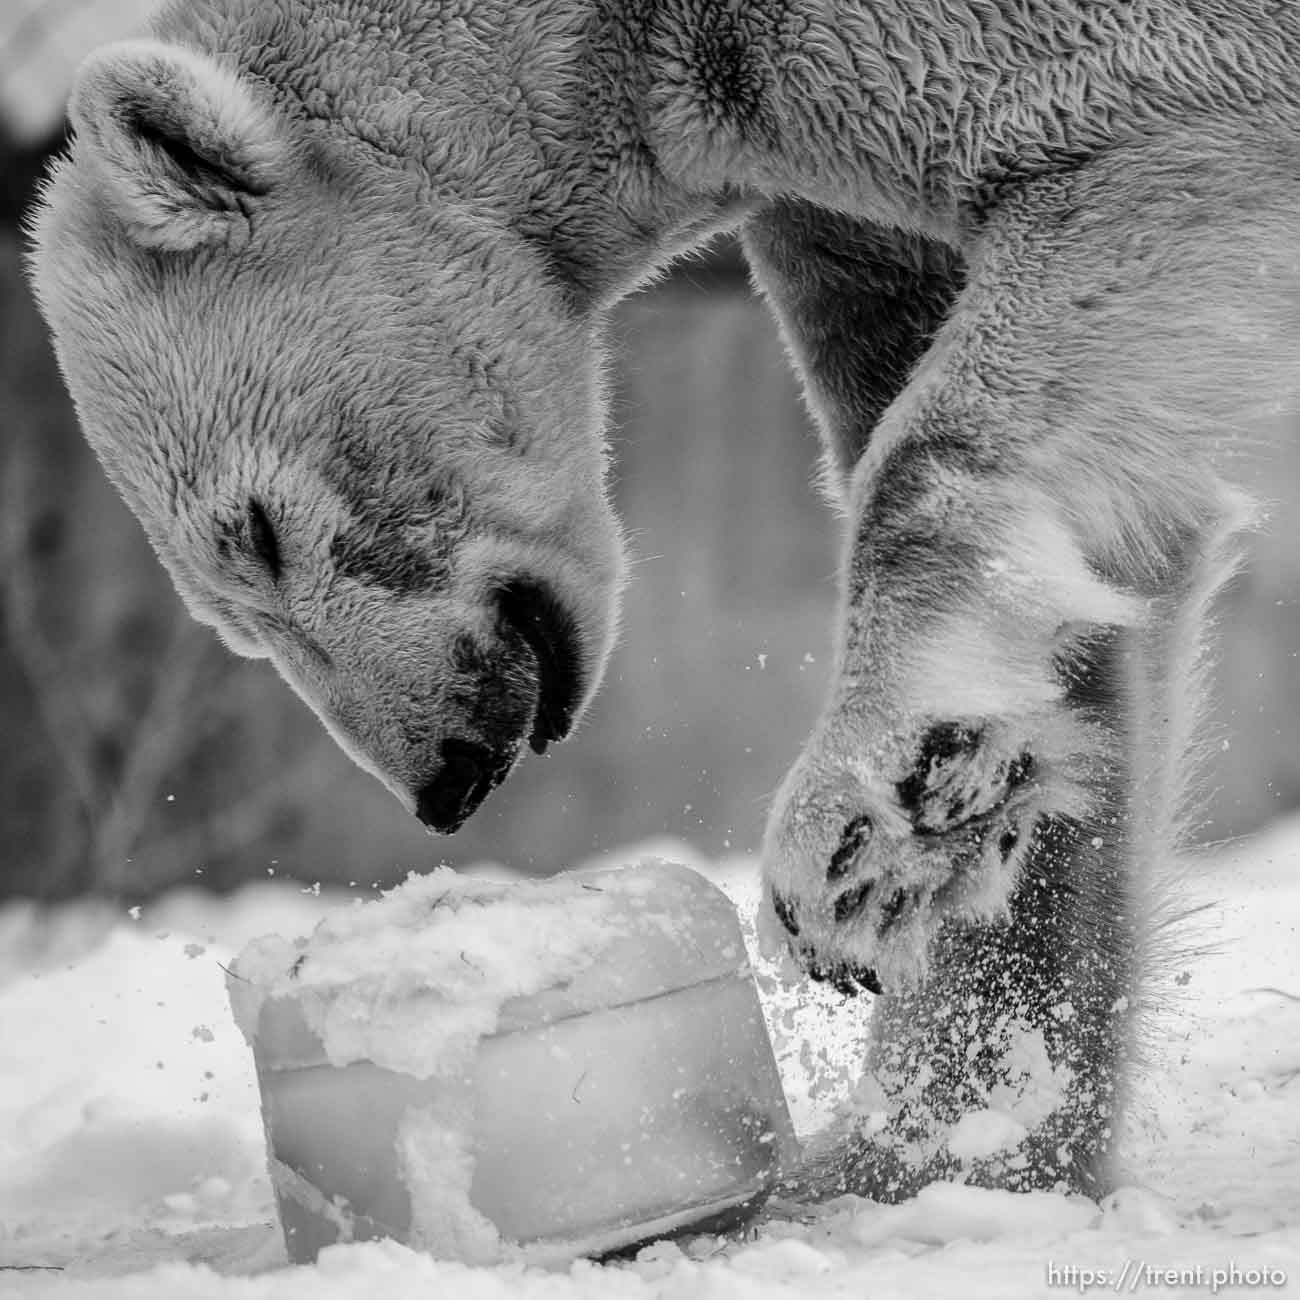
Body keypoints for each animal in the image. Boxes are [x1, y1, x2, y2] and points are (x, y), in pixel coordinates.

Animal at [27, 0, 1300, 1196]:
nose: (443, 778)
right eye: (232, 622)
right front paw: (947, 1124)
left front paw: (849, 842)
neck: (616, 34)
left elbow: (1153, 162)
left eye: (258, 530)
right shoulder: (836, 195)